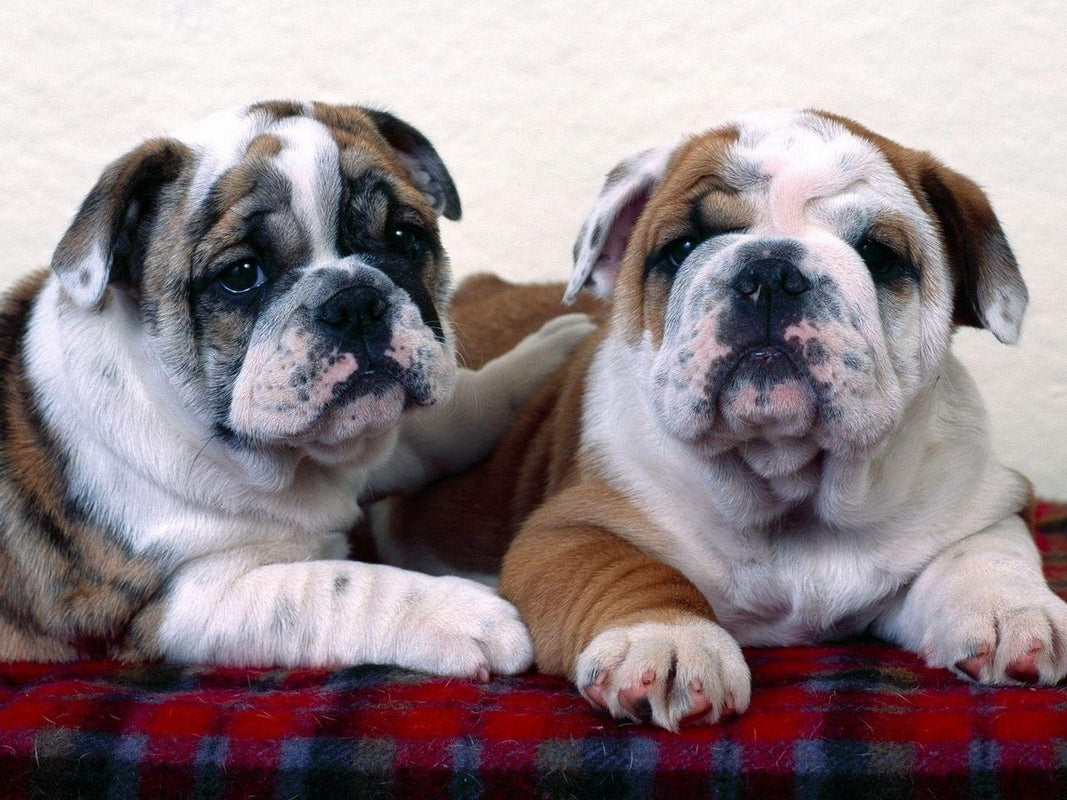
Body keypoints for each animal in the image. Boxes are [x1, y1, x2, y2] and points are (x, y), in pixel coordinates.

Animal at [0, 100, 593, 678]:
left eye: (405, 237)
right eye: (241, 275)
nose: (355, 301)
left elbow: (439, 428)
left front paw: (539, 358)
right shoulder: (186, 605)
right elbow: (340, 588)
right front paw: (466, 613)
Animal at [379, 111, 1062, 733]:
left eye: (878, 254)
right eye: (681, 248)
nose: (770, 271)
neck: (790, 489)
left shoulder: (982, 500)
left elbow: (984, 551)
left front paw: (1010, 612)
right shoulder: (566, 530)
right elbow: (627, 569)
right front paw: (667, 639)